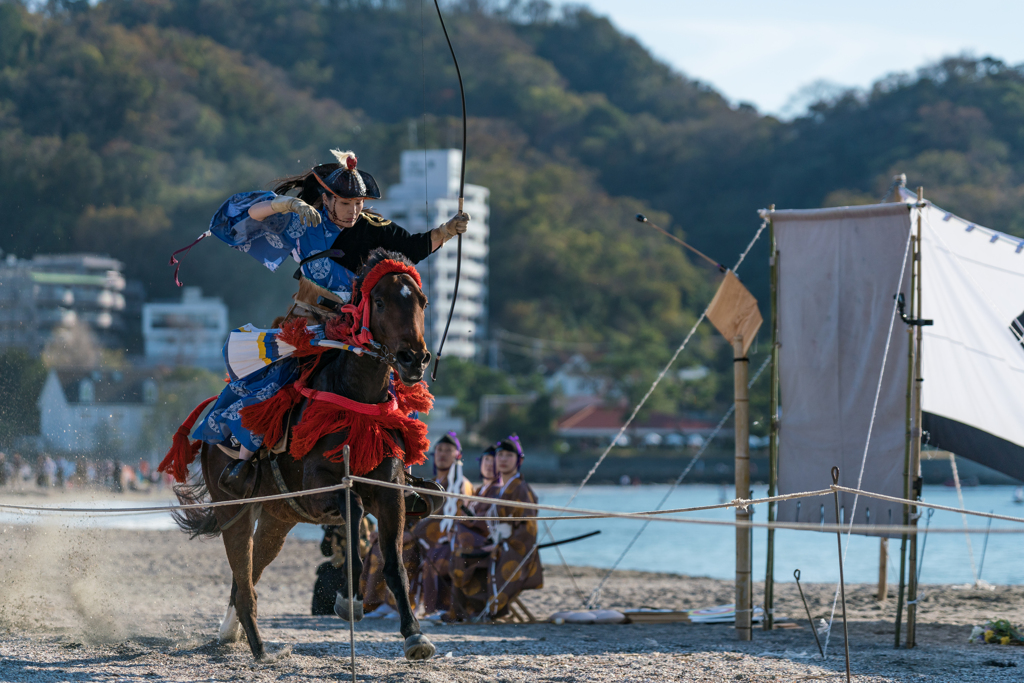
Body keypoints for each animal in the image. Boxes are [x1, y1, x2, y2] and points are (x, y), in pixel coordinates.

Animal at [168, 249, 436, 662]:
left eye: (421, 301)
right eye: (379, 301)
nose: (413, 359)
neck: (355, 401)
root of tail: (209, 429)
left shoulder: (390, 491)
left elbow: (394, 562)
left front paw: (414, 634)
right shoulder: (319, 487)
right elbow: (355, 511)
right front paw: (349, 600)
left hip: (279, 517)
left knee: (248, 574)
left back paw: (231, 632)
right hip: (234, 508)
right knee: (242, 572)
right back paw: (259, 647)